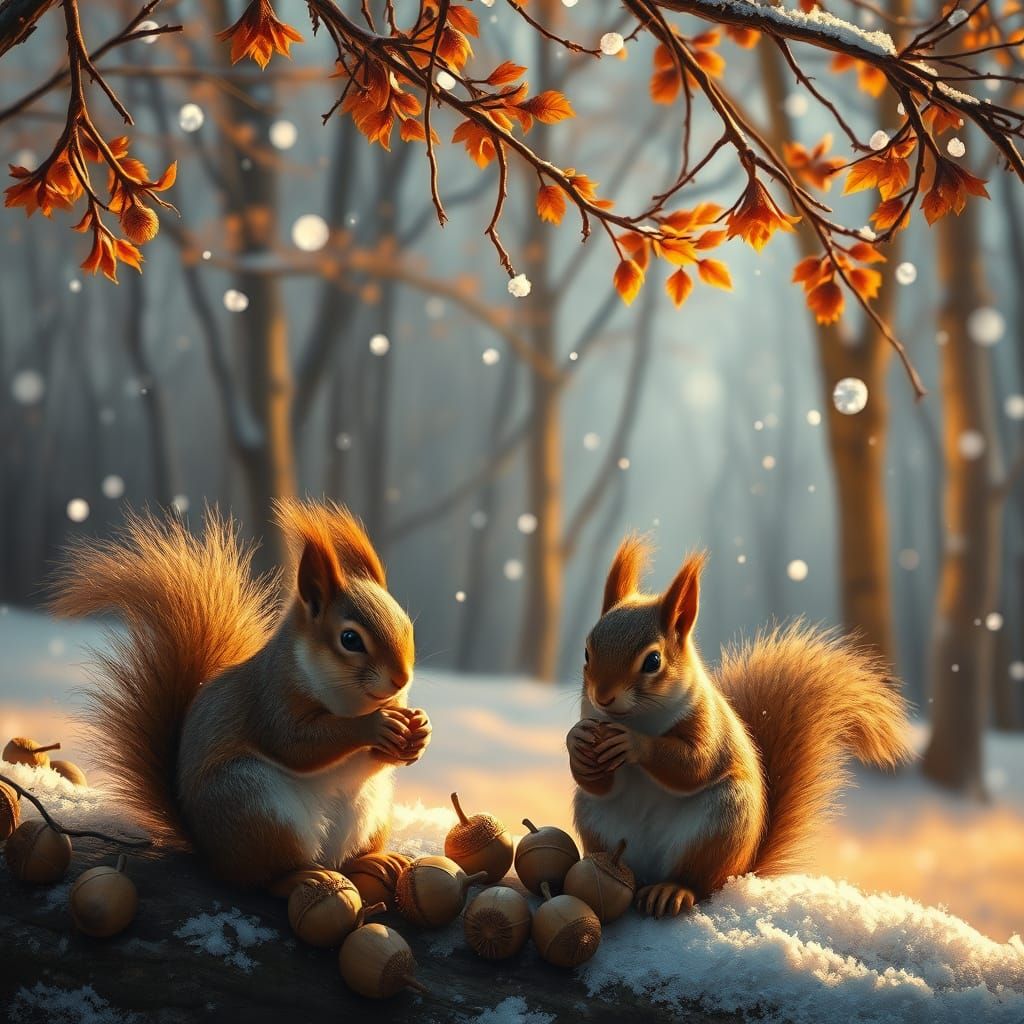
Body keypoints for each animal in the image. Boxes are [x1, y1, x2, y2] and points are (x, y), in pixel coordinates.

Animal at [51, 499, 430, 892]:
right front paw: (374, 725)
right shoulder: (270, 698)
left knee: (349, 858)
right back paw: (303, 876)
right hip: (257, 808)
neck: (353, 700)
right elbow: (296, 743)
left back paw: (376, 861)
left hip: (374, 810)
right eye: (350, 639)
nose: (401, 679)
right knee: (264, 877)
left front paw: (419, 732)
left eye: (407, 625)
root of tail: (209, 852)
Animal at [568, 536, 912, 918]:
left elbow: (694, 765)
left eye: (653, 661)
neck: (636, 717)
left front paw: (634, 742)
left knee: (699, 882)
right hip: (596, 821)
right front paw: (576, 741)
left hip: (722, 824)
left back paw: (672, 891)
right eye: (587, 652)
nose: (602, 697)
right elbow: (597, 782)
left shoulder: (707, 724)